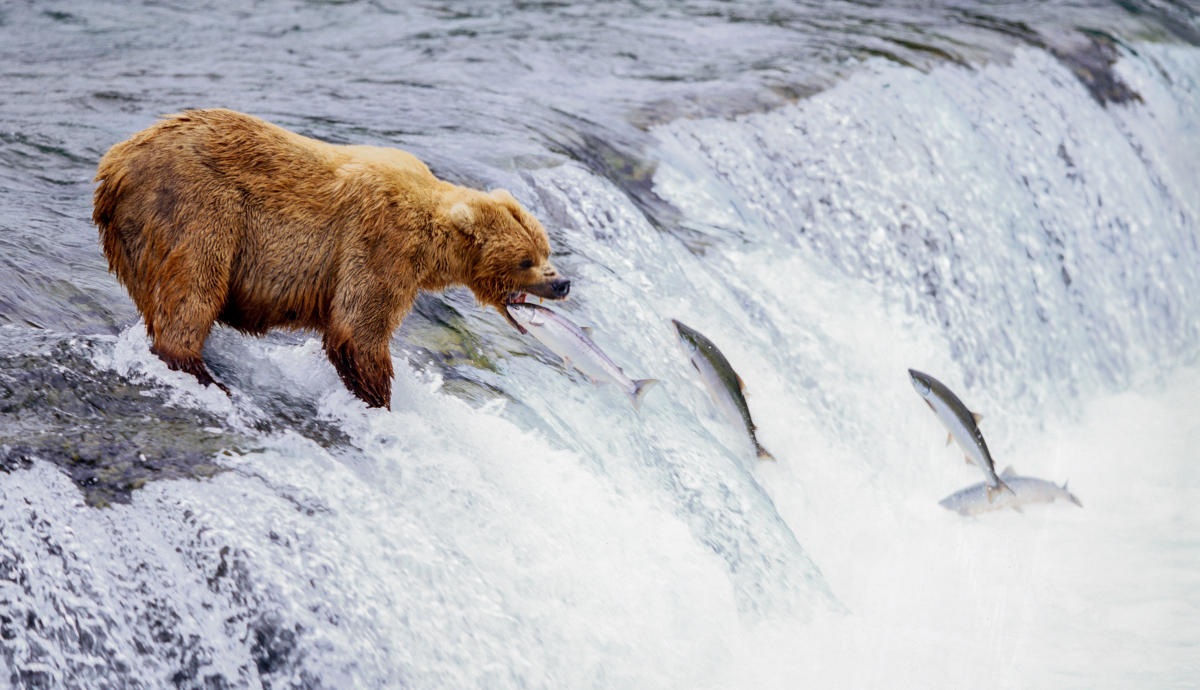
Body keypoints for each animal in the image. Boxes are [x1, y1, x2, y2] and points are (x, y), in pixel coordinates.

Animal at [91, 109, 568, 408]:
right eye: (526, 260)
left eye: (545, 250)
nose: (561, 282)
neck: (434, 243)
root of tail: (114, 164)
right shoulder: (380, 240)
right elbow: (357, 329)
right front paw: (379, 397)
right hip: (197, 206)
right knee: (194, 285)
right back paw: (201, 372)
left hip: (136, 237)